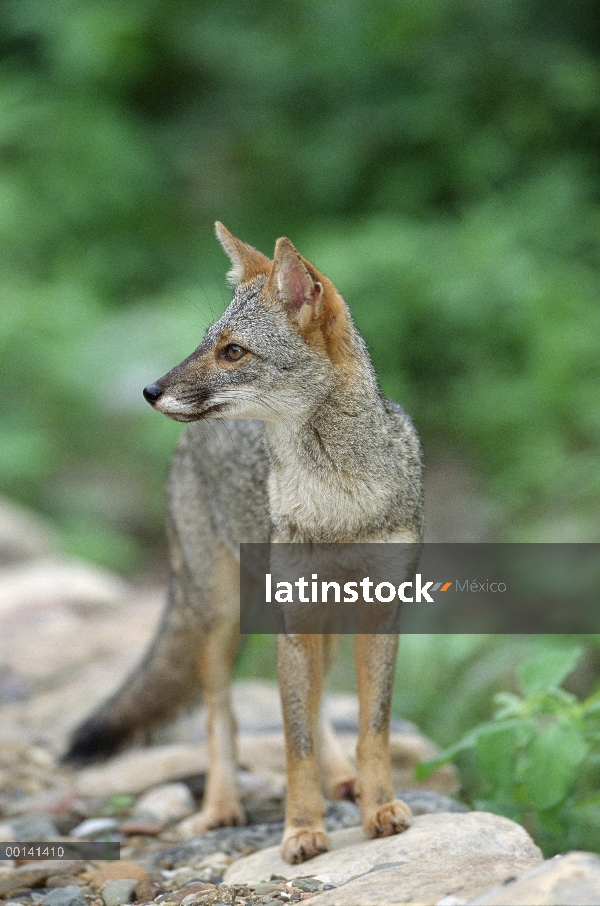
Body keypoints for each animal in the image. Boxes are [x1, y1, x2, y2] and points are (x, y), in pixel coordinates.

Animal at [64, 224, 422, 860]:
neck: (340, 501)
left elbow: (370, 729)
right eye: (206, 342)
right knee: (220, 719)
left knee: (319, 707)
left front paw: (380, 807)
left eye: (233, 351)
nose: (150, 390)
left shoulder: (378, 615)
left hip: (315, 624)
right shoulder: (292, 624)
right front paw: (301, 828)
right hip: (221, 621)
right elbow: (293, 742)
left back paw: (343, 781)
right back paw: (221, 806)